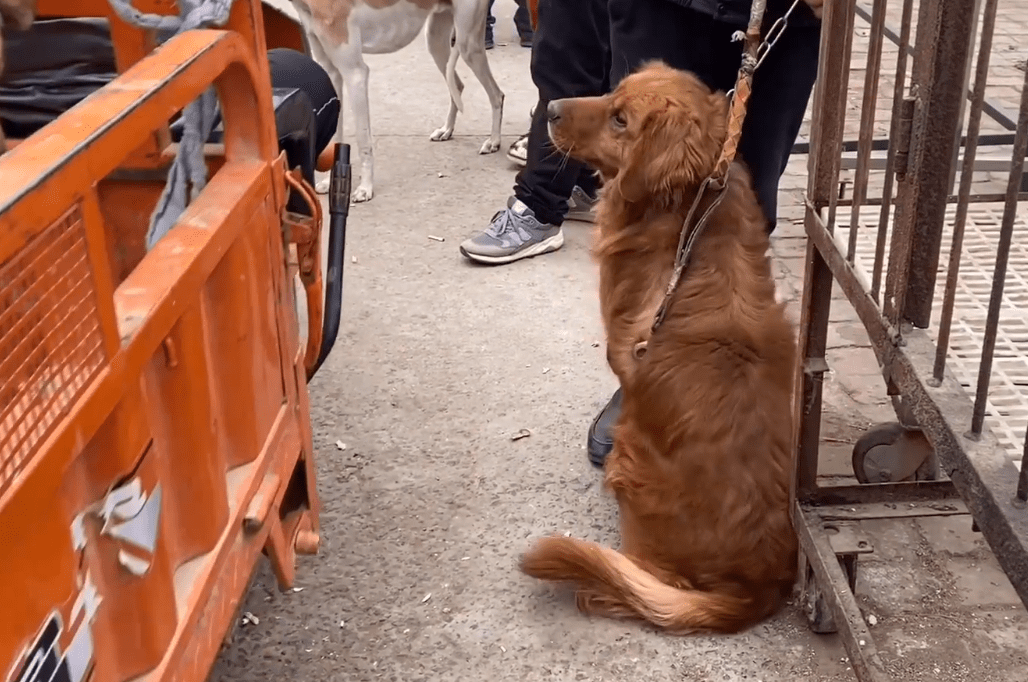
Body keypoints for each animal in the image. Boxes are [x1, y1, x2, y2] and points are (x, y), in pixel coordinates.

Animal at [267, 0, 503, 202]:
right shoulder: (331, 73)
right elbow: (335, 136)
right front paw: (328, 182)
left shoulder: (355, 74)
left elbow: (363, 140)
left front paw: (365, 188)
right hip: (436, 39)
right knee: (458, 86)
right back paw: (447, 129)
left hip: (468, 43)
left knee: (496, 94)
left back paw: (493, 141)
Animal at [518, 59, 797, 633]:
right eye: (612, 94)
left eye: (621, 120)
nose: (551, 107)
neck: (688, 212)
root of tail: (755, 588)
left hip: (633, 460)